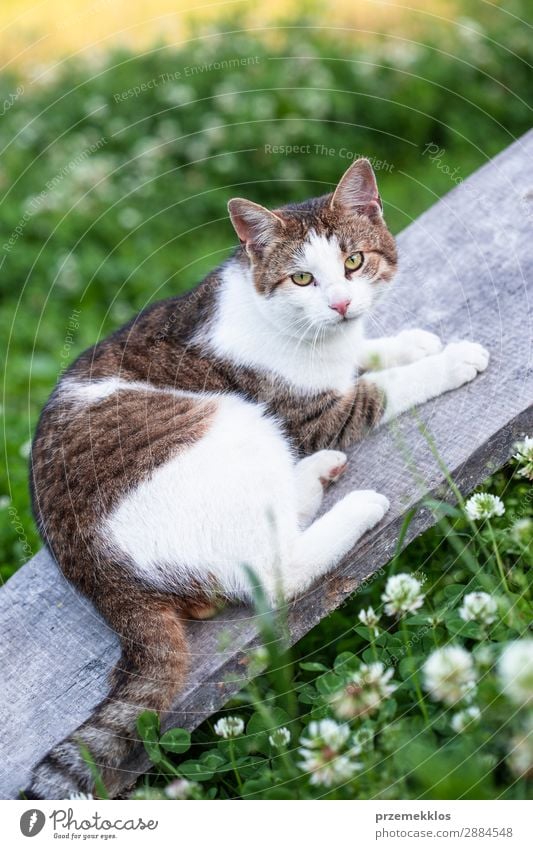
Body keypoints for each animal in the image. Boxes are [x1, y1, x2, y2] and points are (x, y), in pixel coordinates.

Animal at [27, 157, 488, 796]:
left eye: (353, 262)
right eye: (302, 279)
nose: (341, 305)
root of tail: (99, 578)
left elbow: (363, 356)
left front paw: (402, 342)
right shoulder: (317, 417)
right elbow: (379, 390)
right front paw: (445, 360)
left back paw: (315, 476)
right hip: (235, 421)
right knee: (274, 571)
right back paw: (352, 502)